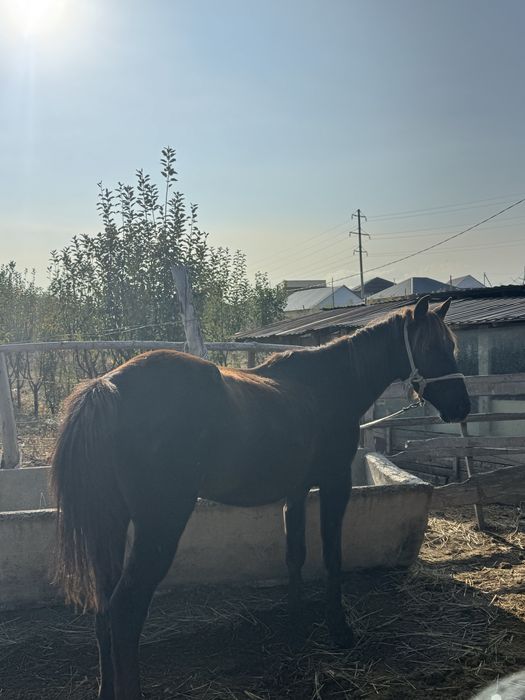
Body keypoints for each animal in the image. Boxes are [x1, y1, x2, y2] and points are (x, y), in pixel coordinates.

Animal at [51, 295, 470, 700]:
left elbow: (295, 556)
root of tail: (107, 386)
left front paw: (296, 624)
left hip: (111, 524)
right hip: (159, 527)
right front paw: (339, 630)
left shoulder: (296, 492)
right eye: (432, 346)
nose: (462, 407)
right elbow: (332, 557)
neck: (329, 385)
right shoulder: (335, 485)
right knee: (124, 612)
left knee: (105, 608)